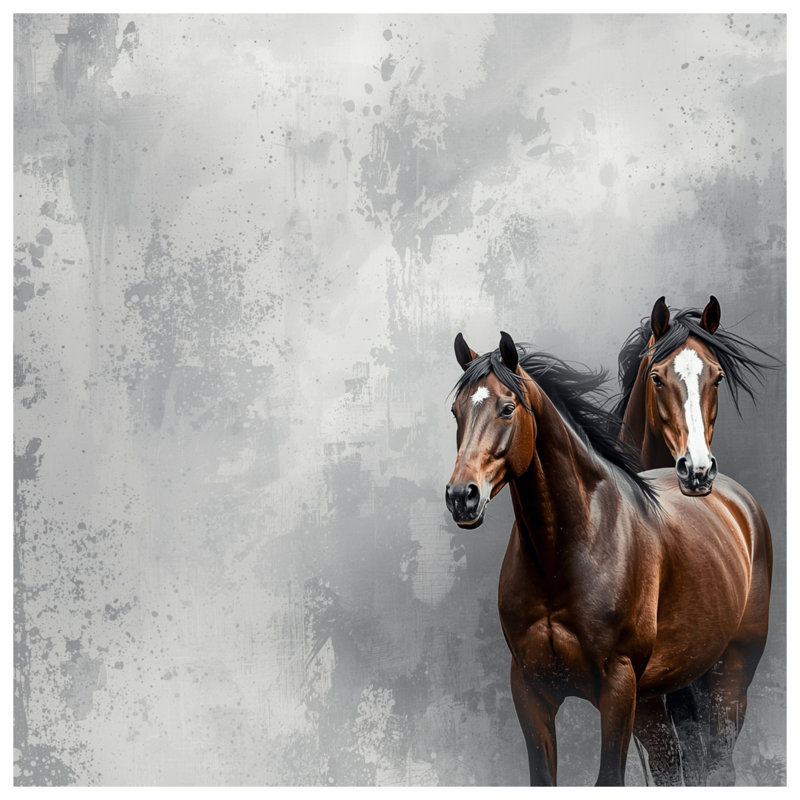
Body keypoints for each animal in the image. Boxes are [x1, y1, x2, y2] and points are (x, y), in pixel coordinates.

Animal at [445, 332, 772, 786]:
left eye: (507, 408)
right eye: (456, 412)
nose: (462, 496)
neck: (561, 556)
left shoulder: (617, 689)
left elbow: (609, 777)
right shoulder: (530, 690)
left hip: (731, 677)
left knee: (720, 763)